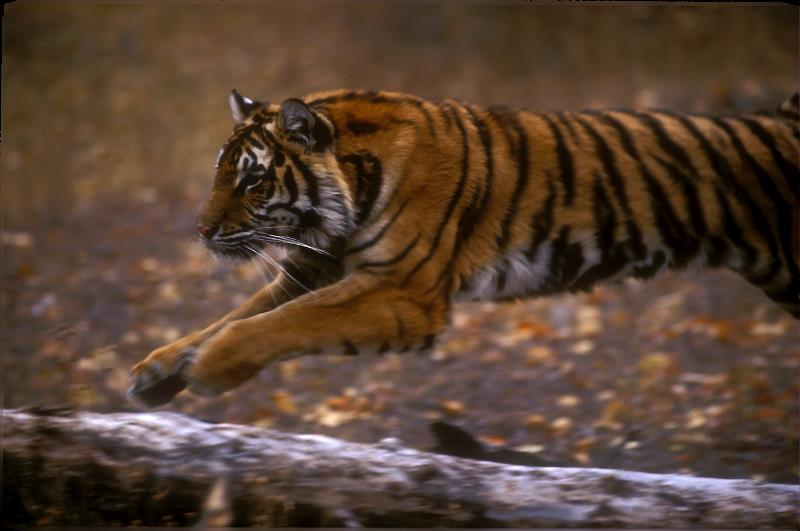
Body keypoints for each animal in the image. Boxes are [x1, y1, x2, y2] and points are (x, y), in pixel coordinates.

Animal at [129, 89, 799, 408]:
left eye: (252, 180)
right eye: (220, 172)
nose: (200, 230)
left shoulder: (404, 293)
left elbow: (280, 324)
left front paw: (209, 367)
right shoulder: (314, 268)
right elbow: (239, 314)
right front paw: (158, 370)